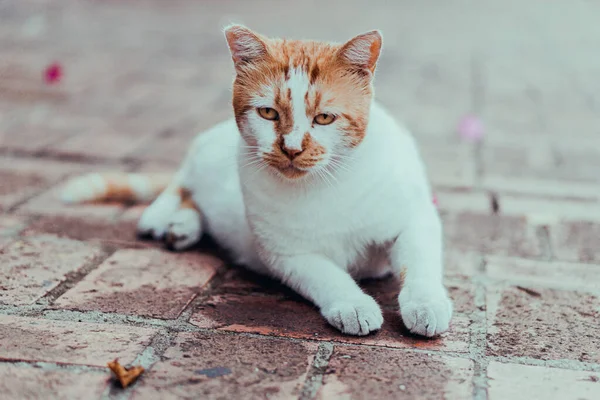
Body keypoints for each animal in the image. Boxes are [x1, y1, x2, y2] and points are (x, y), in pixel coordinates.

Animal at [62, 25, 454, 338]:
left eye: (324, 118)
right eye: (268, 113)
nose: (292, 148)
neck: (325, 184)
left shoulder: (416, 219)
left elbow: (420, 263)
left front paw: (426, 304)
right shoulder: (287, 254)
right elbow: (328, 276)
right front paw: (353, 305)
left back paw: (183, 226)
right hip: (203, 156)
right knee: (181, 182)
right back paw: (162, 218)